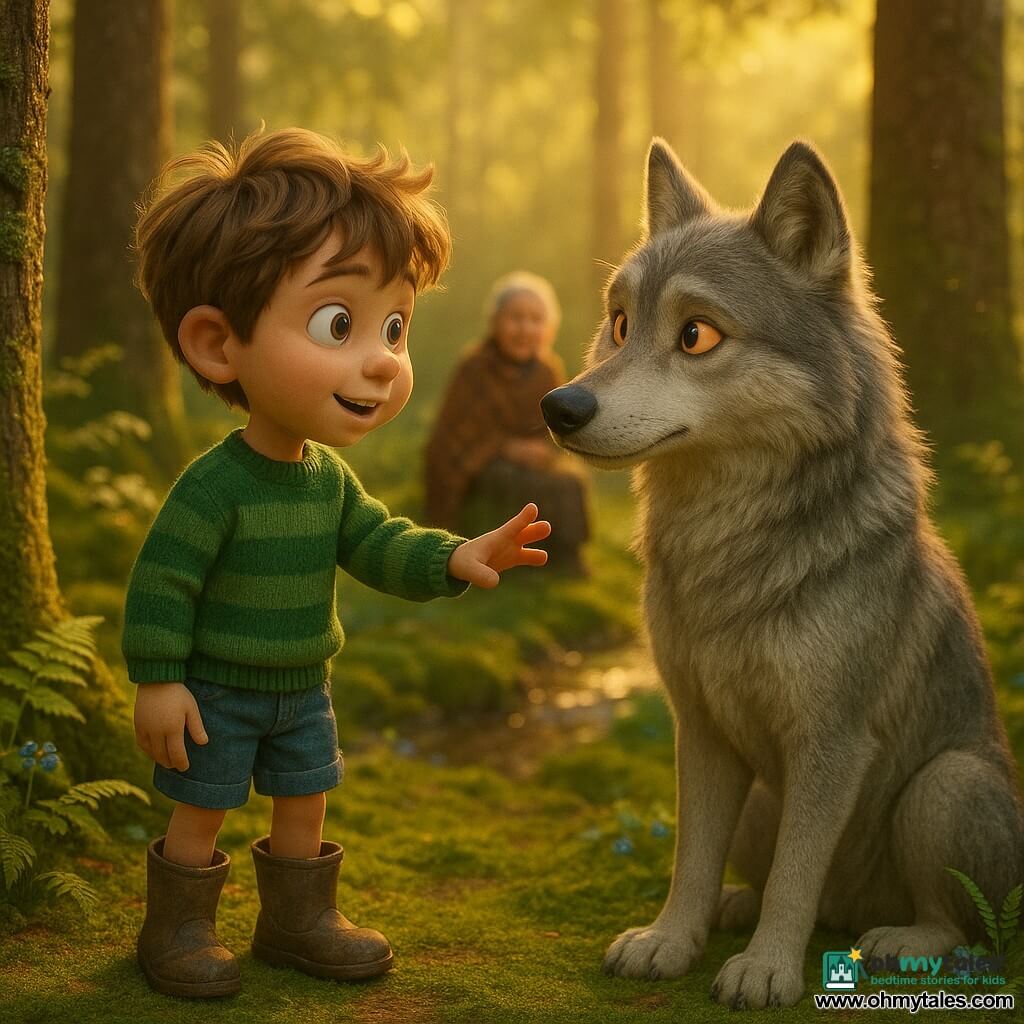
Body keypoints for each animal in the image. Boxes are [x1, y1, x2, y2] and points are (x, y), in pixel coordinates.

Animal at [540, 139, 1024, 1009]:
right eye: (620, 323)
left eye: (696, 335)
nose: (558, 407)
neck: (729, 544)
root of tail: (856, 909)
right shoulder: (698, 729)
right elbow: (692, 858)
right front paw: (671, 941)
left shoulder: (831, 742)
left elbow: (800, 876)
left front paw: (766, 970)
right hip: (763, 799)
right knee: (777, 882)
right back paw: (737, 906)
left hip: (945, 784)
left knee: (956, 921)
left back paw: (898, 940)